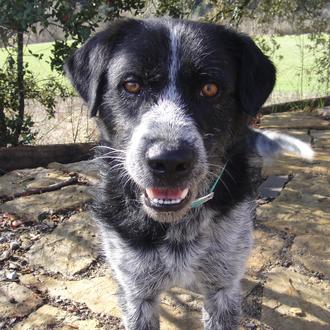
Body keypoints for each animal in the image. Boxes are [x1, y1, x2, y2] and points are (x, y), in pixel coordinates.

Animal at [65, 18, 314, 330]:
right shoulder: (136, 294)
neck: (177, 227)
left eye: (210, 88)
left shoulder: (222, 289)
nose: (169, 162)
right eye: (131, 84)